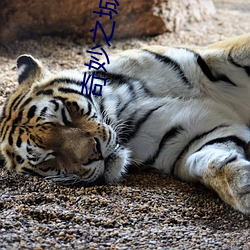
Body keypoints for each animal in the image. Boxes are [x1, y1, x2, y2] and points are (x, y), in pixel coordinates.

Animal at [0, 32, 250, 213]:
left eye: (65, 116)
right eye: (48, 158)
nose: (95, 153)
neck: (124, 106)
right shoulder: (187, 137)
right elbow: (210, 162)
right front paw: (243, 188)